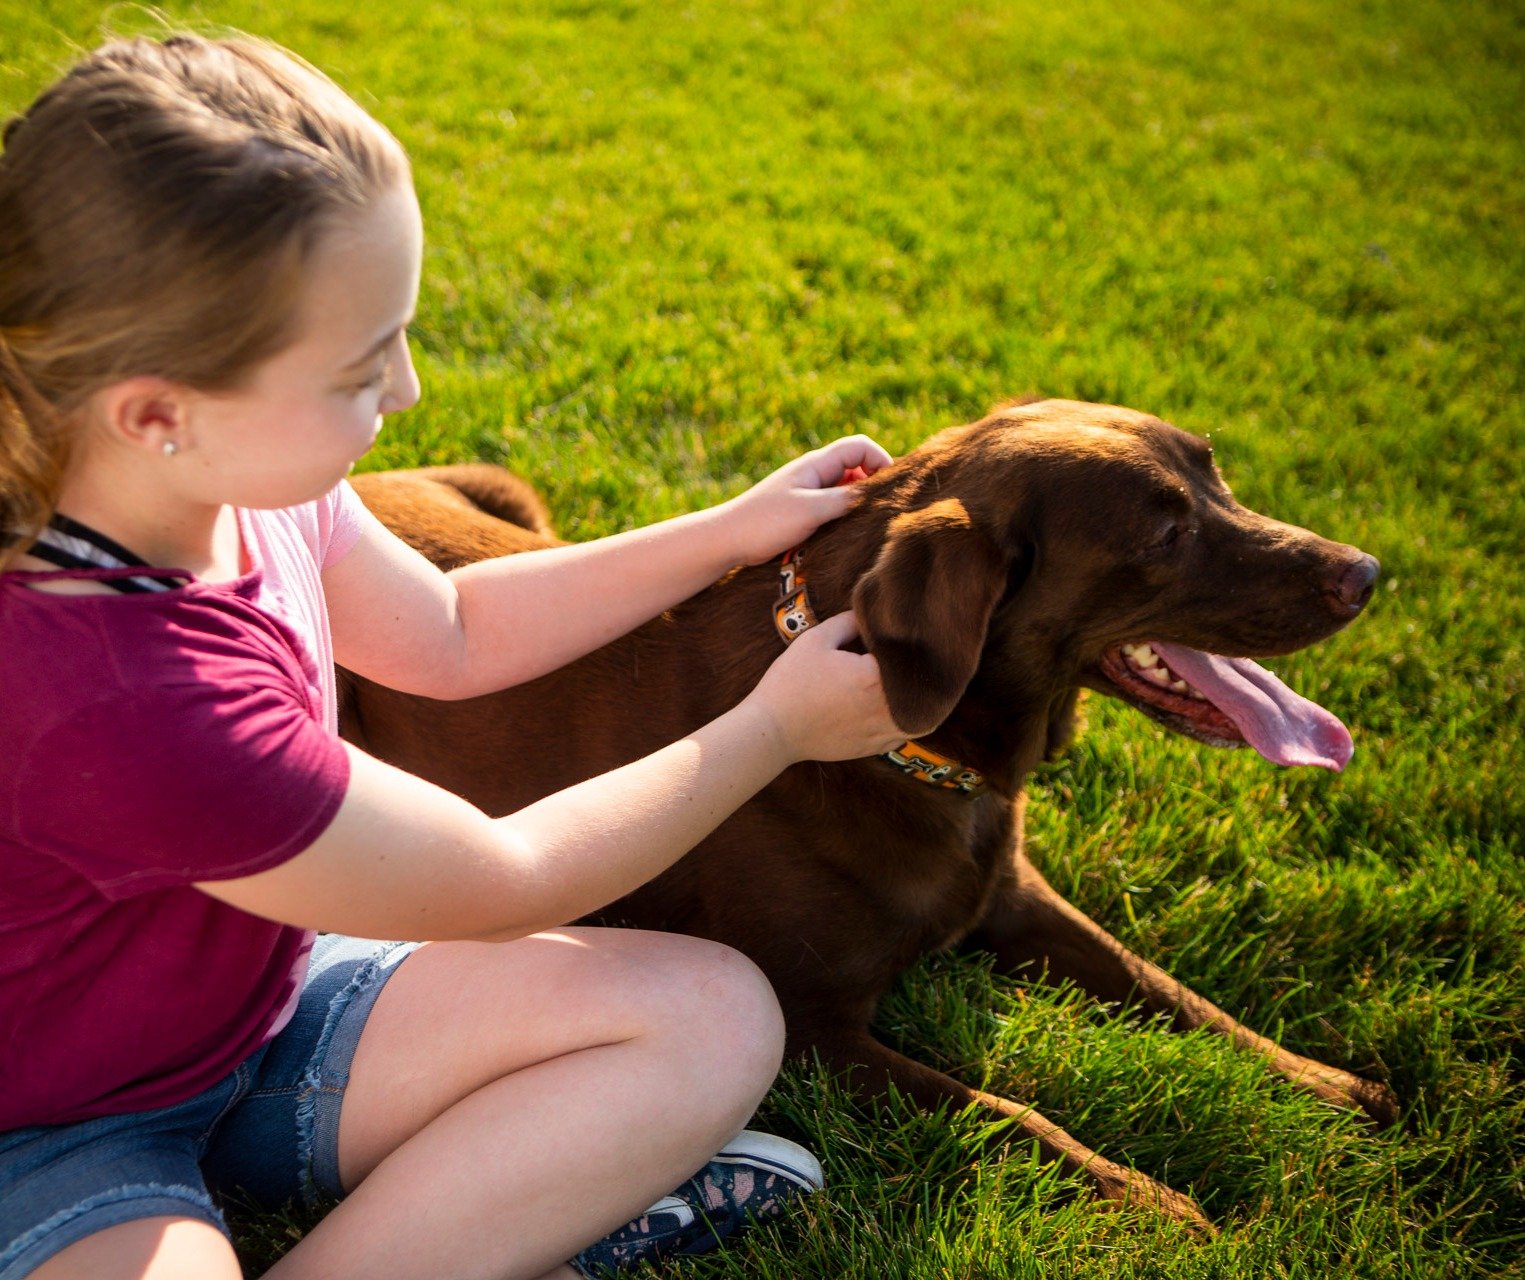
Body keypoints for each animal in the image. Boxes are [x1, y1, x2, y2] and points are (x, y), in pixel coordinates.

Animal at [340, 399, 1396, 1232]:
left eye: (1214, 474)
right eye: (1162, 537)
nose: (1364, 572)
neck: (926, 762)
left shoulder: (1013, 899)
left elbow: (1171, 992)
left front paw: (1333, 1088)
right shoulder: (814, 1033)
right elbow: (1010, 1111)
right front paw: (1154, 1201)